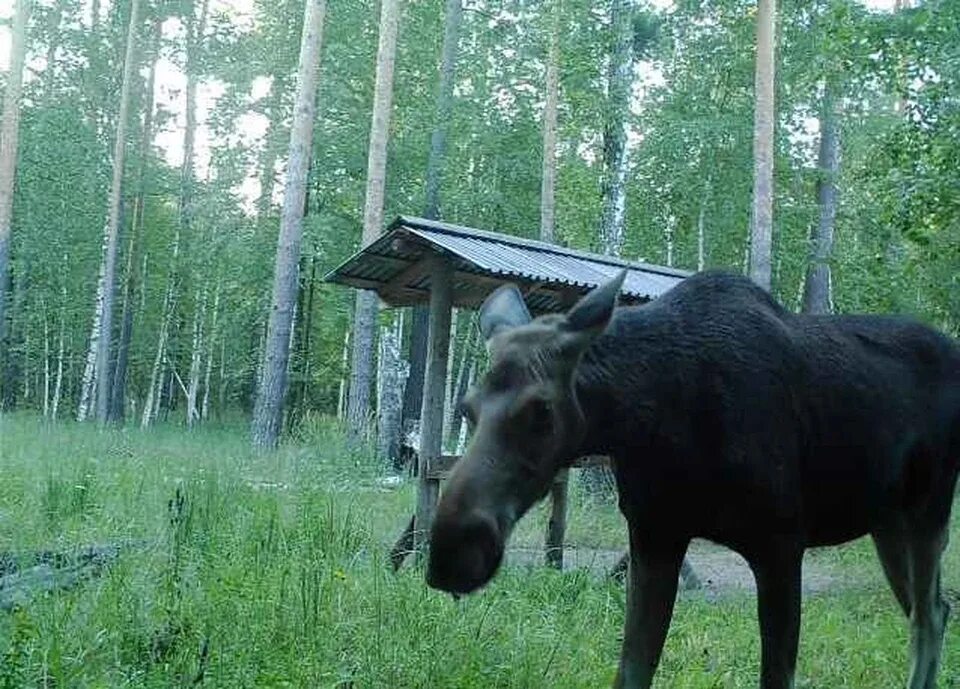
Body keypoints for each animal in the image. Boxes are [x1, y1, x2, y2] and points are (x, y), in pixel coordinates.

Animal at [428, 268, 960, 688]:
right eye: (467, 409)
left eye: (540, 410)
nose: (452, 552)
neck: (654, 419)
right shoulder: (655, 537)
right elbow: (631, 671)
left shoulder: (781, 544)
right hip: (887, 523)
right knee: (933, 609)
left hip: (930, 509)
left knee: (927, 618)